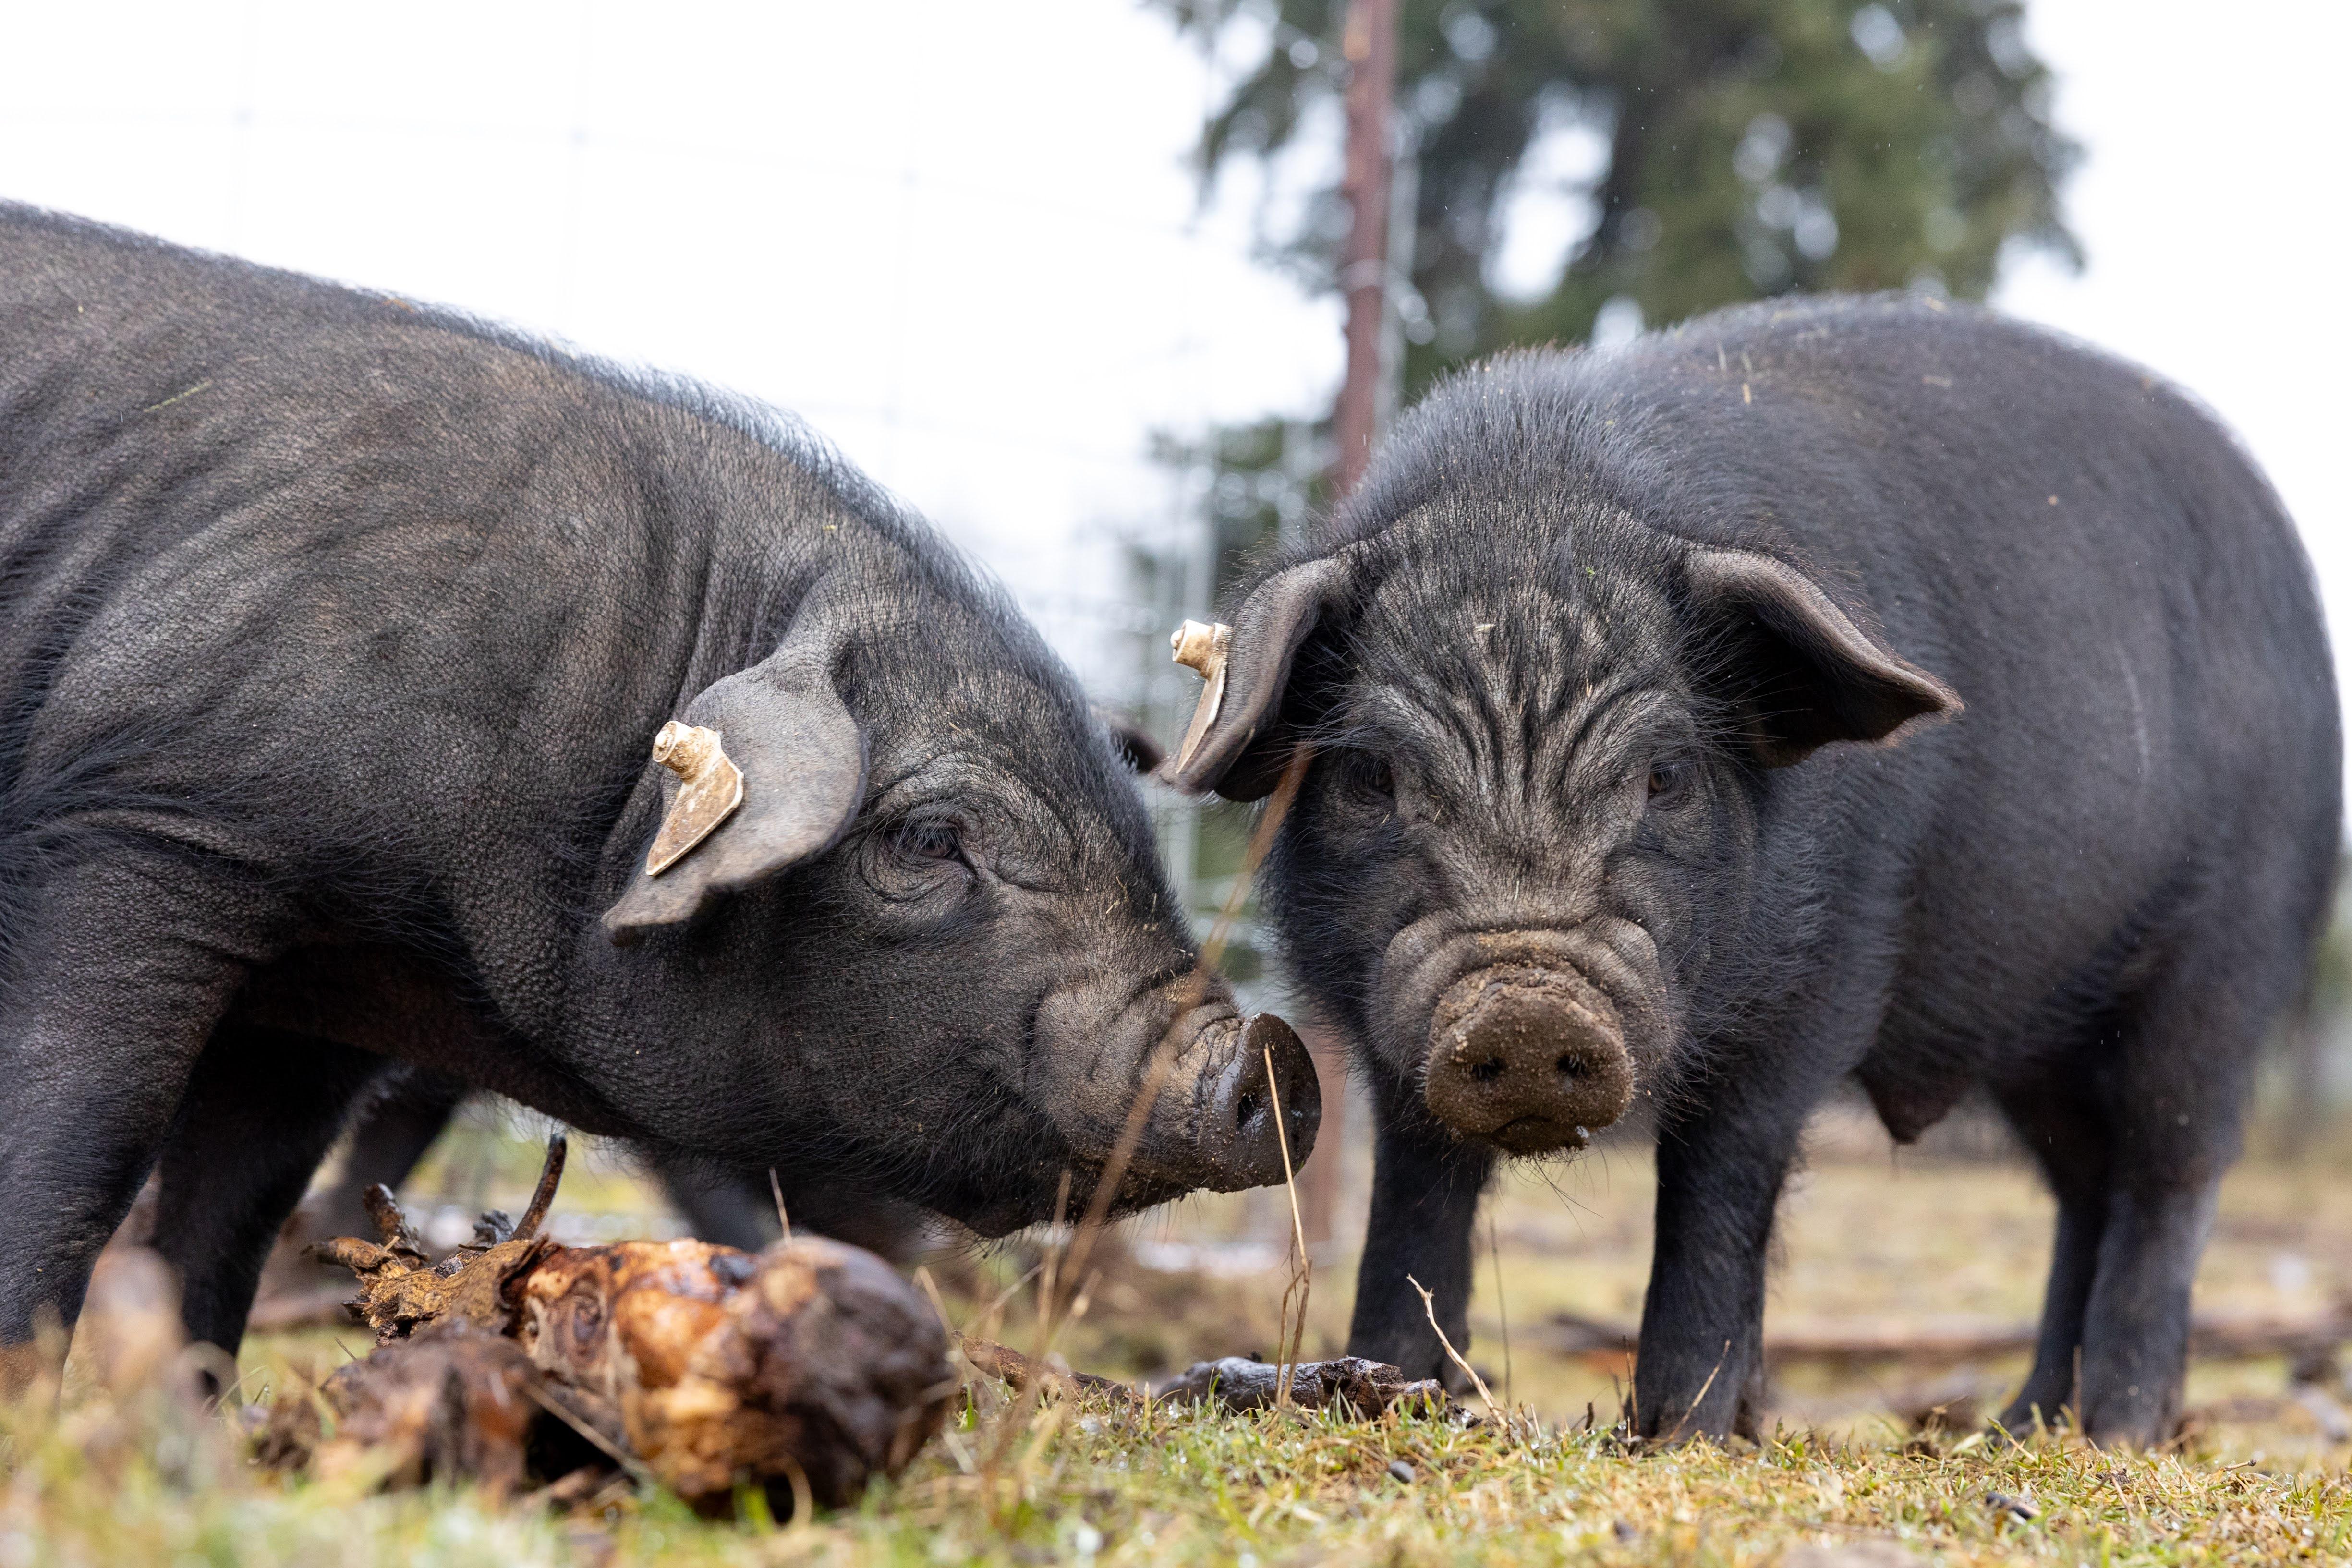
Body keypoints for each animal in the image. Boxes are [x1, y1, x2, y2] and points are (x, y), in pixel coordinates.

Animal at [0, 203, 1319, 1379]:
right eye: (931, 838)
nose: (1276, 1053)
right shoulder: (154, 817)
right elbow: (79, 1145)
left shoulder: (323, 993)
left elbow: (224, 1217)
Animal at [1166, 296, 2338, 1446]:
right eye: (1371, 775)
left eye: (1666, 774)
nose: (1529, 1008)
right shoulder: (1387, 1035)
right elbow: (1417, 1191)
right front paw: (1393, 1391)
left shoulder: (1826, 973)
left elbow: (1720, 1183)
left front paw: (1680, 1436)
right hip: (2043, 1039)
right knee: (2083, 1191)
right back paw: (2022, 1429)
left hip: (2226, 958)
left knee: (2168, 1175)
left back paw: (2116, 1435)